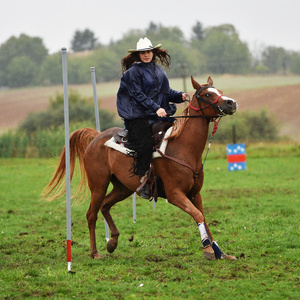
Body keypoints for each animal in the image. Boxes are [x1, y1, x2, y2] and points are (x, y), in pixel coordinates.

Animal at [42, 77, 239, 260]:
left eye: (220, 91)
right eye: (207, 94)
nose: (232, 103)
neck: (183, 148)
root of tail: (97, 137)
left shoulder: (194, 194)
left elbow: (203, 217)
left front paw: (220, 252)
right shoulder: (175, 194)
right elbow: (198, 215)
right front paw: (208, 249)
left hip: (123, 188)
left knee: (105, 205)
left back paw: (112, 242)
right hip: (98, 185)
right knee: (92, 214)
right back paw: (95, 252)